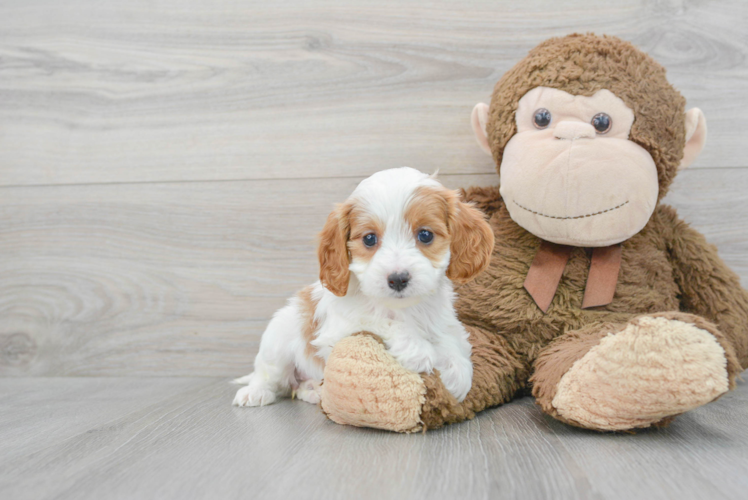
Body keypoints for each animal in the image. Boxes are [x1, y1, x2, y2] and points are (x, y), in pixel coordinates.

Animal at [231, 168, 494, 406]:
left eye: (426, 235)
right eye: (369, 239)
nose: (398, 279)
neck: (404, 308)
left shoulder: (442, 321)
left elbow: (451, 340)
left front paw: (456, 374)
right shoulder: (341, 329)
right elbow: (380, 320)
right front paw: (417, 350)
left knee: (297, 386)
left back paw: (314, 390)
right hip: (278, 344)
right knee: (269, 376)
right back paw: (255, 392)